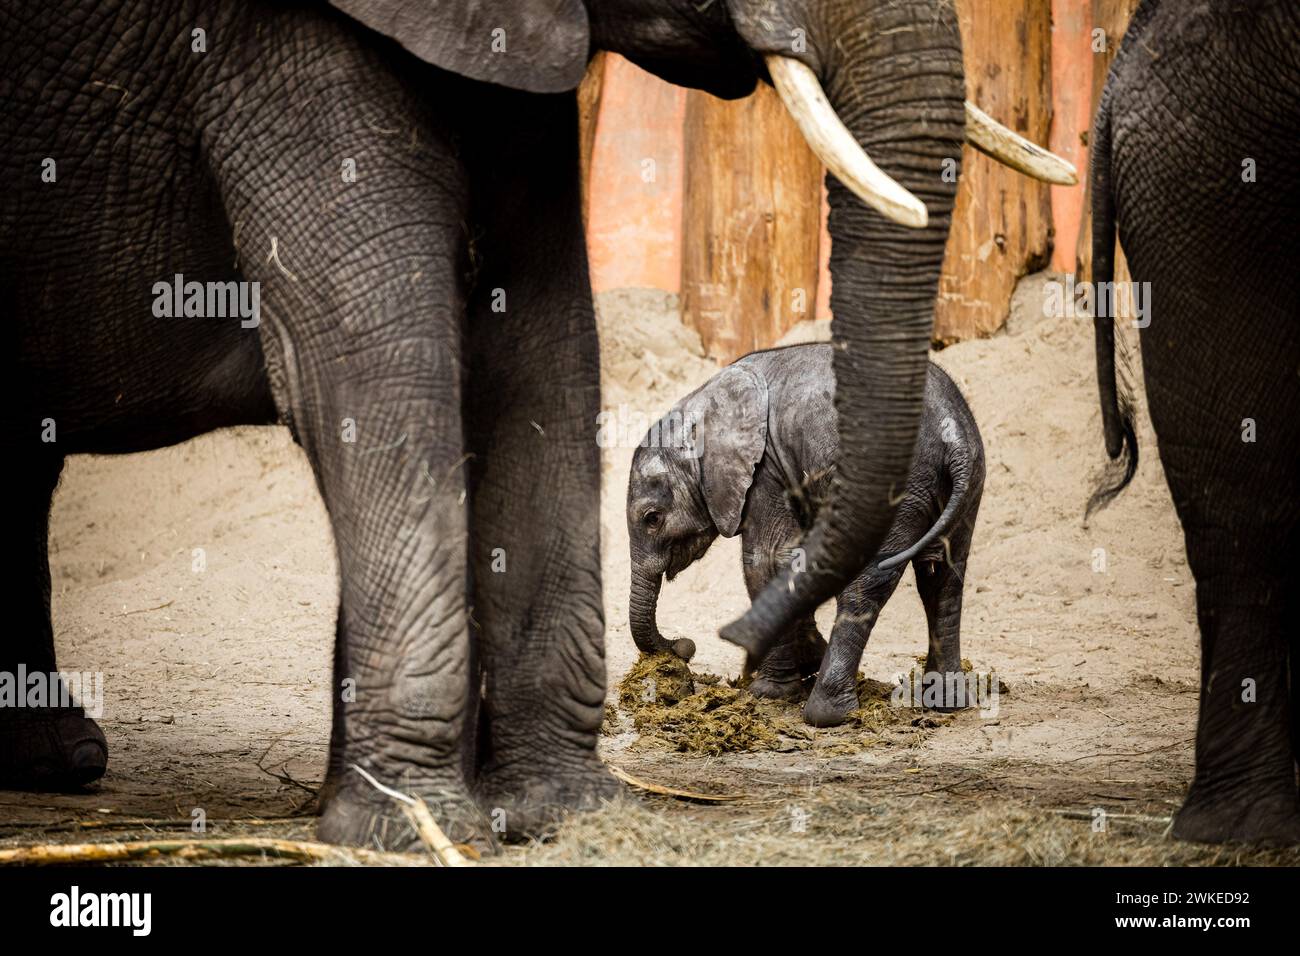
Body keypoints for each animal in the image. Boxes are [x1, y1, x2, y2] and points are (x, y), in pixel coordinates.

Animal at [629, 343, 982, 723]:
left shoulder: (765, 468)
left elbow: (769, 559)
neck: (699, 404)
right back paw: (945, 702)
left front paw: (768, 692)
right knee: (943, 579)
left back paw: (826, 713)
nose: (685, 646)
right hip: (964, 481)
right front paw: (807, 661)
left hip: (895, 484)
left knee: (869, 583)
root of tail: (954, 433)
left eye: (652, 518)